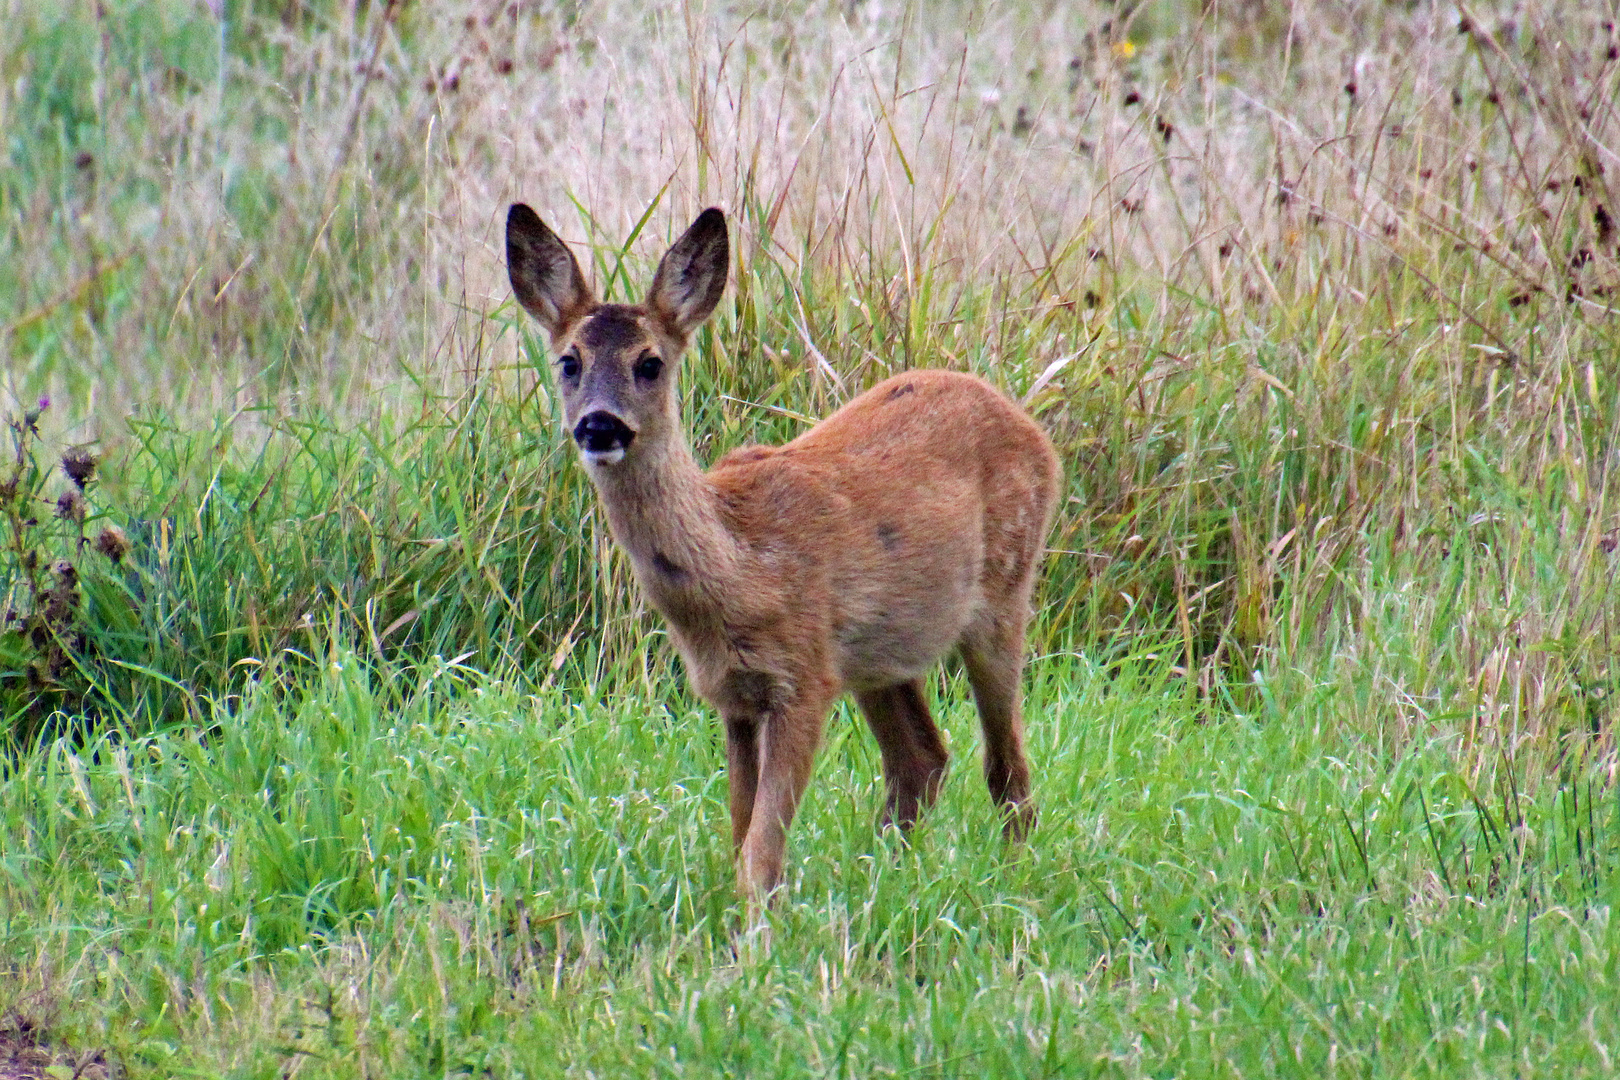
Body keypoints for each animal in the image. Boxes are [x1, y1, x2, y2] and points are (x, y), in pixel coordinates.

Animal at [505, 204, 1062, 906]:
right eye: (568, 361)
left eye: (650, 362)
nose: (600, 426)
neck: (739, 570)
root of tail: (1033, 430)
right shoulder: (732, 694)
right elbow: (739, 831)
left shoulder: (804, 679)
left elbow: (762, 848)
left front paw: (757, 926)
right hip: (879, 653)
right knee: (922, 760)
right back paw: (880, 877)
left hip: (1003, 596)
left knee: (1006, 765)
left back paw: (1014, 878)